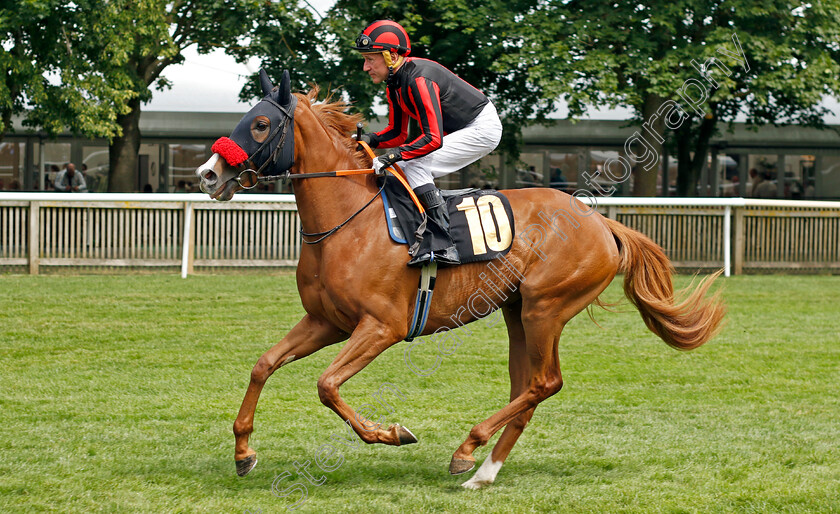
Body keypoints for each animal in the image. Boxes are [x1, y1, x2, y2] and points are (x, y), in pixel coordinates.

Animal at [195, 74, 720, 486]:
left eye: (261, 124)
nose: (207, 174)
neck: (348, 221)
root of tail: (601, 222)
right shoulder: (327, 322)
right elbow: (263, 365)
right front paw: (243, 453)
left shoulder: (381, 327)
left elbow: (326, 385)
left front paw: (390, 433)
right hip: (517, 312)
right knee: (526, 388)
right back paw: (482, 471)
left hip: (546, 307)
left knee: (545, 382)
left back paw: (469, 447)